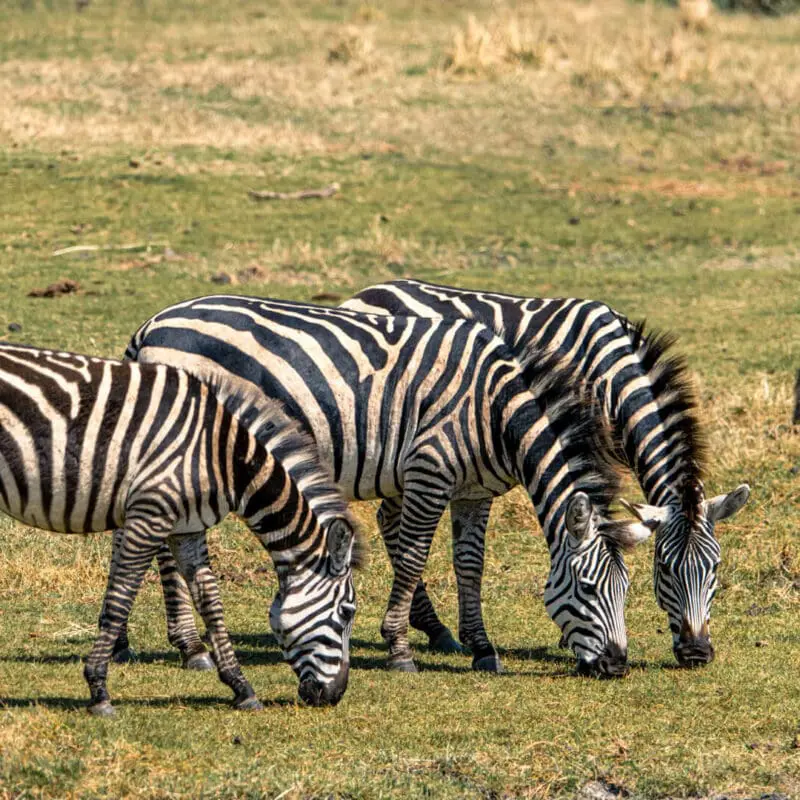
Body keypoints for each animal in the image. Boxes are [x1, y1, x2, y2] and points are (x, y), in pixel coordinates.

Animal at [0, 342, 360, 714]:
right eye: (346, 612)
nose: (335, 696)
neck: (224, 457)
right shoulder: (151, 514)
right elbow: (120, 598)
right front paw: (98, 689)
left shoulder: (188, 528)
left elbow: (210, 601)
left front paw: (241, 687)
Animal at [119, 294, 655, 677]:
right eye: (588, 587)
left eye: (627, 588)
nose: (617, 666)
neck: (494, 410)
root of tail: (152, 325)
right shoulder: (429, 471)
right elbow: (414, 556)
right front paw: (399, 648)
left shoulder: (473, 491)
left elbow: (470, 564)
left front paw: (481, 648)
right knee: (162, 546)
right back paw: (190, 647)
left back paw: (132, 644)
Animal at [341, 279, 750, 667]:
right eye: (664, 568)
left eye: (715, 567)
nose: (697, 653)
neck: (611, 375)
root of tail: (370, 291)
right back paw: (431, 627)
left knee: (388, 517)